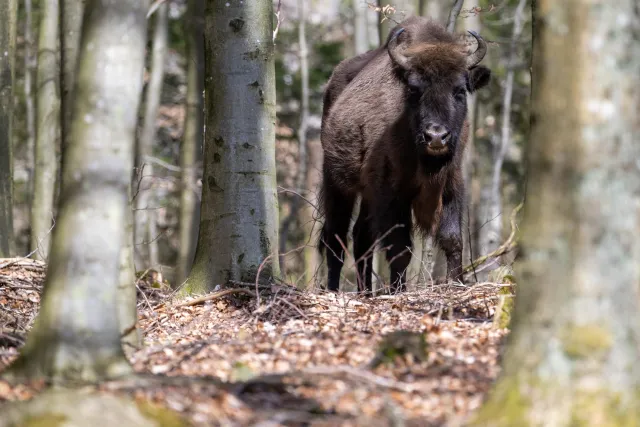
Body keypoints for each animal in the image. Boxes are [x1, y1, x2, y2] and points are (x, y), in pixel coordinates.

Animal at [318, 18, 490, 296]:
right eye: (413, 89)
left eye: (460, 90)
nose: (435, 136)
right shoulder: (392, 194)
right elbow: (401, 249)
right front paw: (398, 290)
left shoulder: (452, 184)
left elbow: (452, 239)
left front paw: (456, 283)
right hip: (336, 182)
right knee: (337, 235)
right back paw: (334, 289)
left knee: (361, 236)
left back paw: (366, 291)